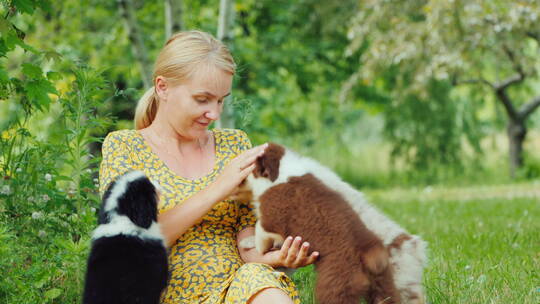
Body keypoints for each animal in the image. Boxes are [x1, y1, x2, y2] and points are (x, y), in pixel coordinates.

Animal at [238, 144, 428, 304]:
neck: (283, 171)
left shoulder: (271, 217)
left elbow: (260, 232)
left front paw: (250, 244)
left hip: (338, 282)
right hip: (384, 284)